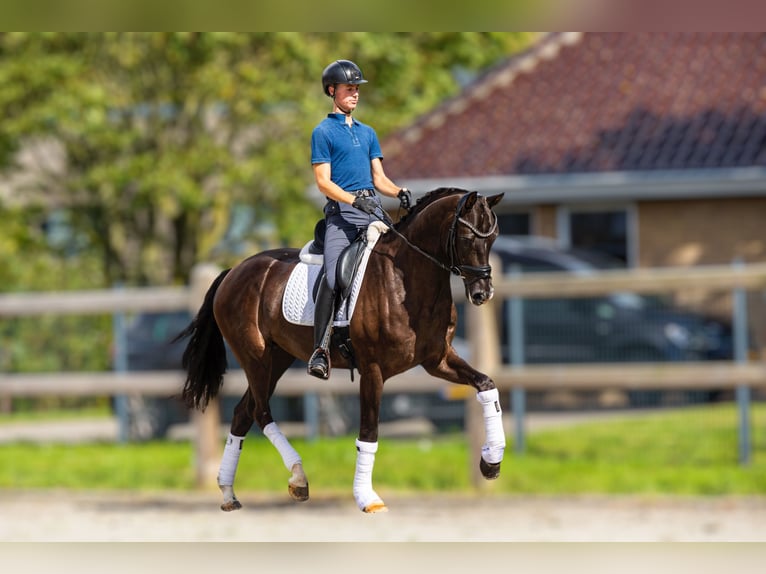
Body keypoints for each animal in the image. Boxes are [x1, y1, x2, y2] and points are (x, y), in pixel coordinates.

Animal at [177, 188, 508, 512]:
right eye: (467, 238)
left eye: (493, 237)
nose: (483, 294)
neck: (405, 278)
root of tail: (234, 270)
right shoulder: (373, 370)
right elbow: (369, 434)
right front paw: (367, 498)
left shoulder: (437, 360)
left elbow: (486, 385)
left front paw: (491, 461)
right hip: (254, 356)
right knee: (260, 411)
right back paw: (298, 477)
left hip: (277, 358)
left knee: (242, 413)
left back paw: (229, 493)